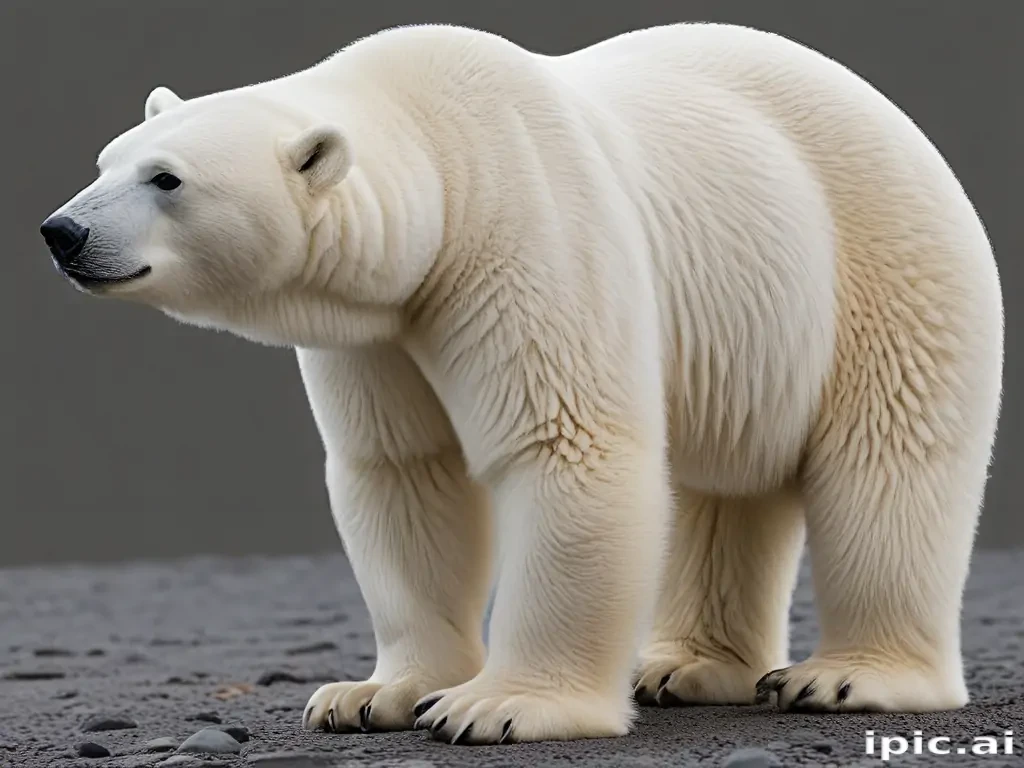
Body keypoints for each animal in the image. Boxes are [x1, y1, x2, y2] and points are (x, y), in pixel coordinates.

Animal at [39, 22, 1004, 745]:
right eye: (106, 159)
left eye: (168, 179)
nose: (61, 232)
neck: (442, 153)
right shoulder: (380, 329)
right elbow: (404, 474)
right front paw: (368, 694)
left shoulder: (531, 229)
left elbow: (564, 446)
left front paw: (498, 706)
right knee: (726, 486)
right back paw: (683, 666)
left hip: (881, 260)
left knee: (888, 461)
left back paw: (843, 678)